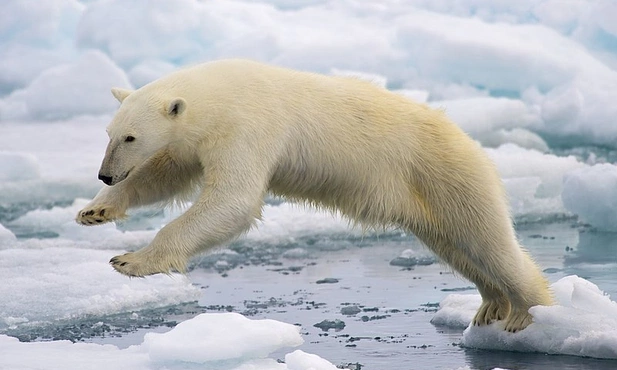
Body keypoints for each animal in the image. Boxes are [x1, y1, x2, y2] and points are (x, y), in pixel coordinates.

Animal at [77, 58, 552, 332]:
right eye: (109, 133)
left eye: (131, 136)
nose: (105, 174)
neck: (219, 93)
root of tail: (468, 140)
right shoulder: (197, 139)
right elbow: (166, 174)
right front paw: (95, 211)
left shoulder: (248, 126)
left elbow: (233, 200)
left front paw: (130, 260)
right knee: (456, 246)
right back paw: (491, 305)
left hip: (445, 173)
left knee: (487, 240)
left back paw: (527, 313)